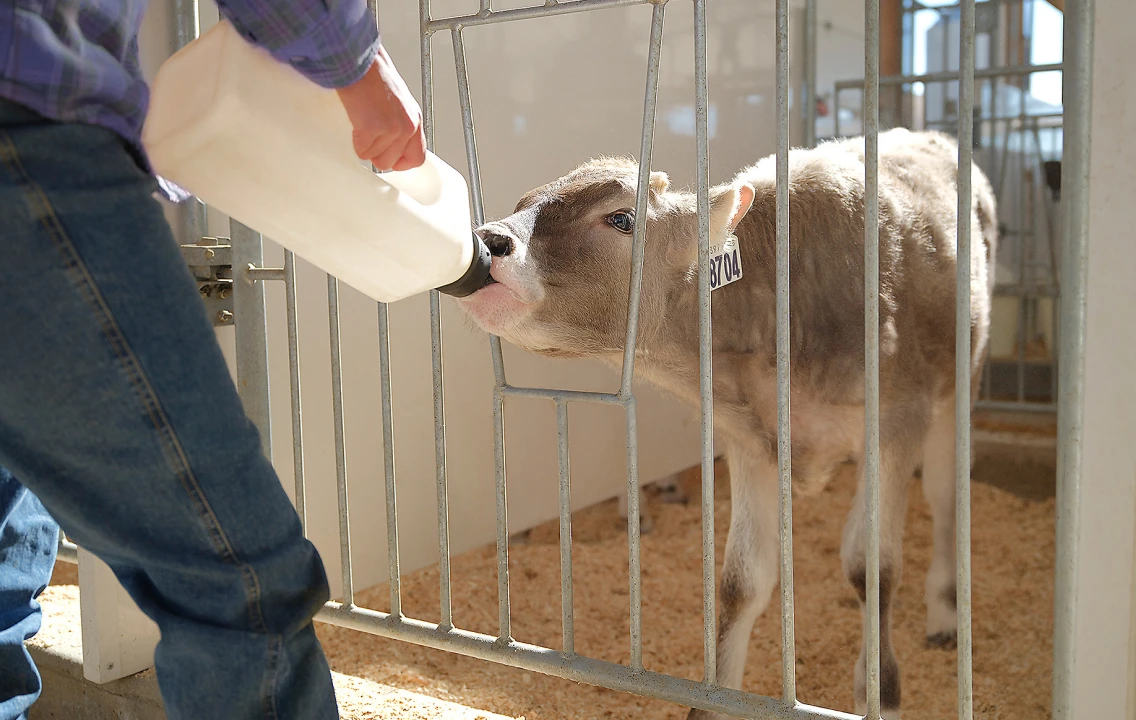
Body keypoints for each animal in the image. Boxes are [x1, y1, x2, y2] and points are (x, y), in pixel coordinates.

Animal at [456, 128, 999, 717]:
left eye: (620, 217)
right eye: (522, 202)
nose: (490, 240)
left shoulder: (896, 422)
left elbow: (870, 567)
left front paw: (883, 693)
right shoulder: (748, 439)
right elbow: (742, 580)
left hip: (959, 385)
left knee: (947, 494)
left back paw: (945, 610)